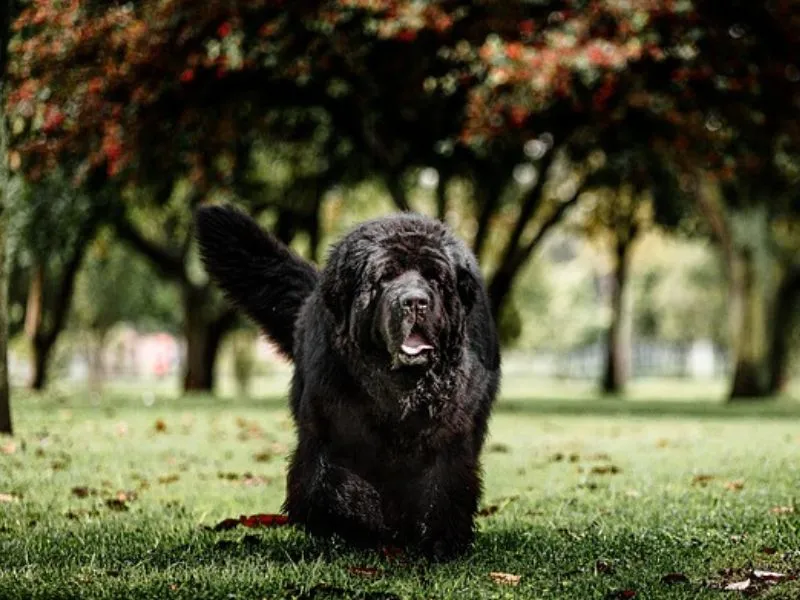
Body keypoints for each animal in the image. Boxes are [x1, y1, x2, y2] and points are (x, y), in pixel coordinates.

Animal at [195, 209, 500, 560]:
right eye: (385, 278)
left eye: (435, 278)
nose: (414, 302)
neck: (400, 388)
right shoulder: (332, 428)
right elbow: (333, 482)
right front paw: (359, 523)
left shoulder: (450, 435)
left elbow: (444, 486)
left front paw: (439, 542)